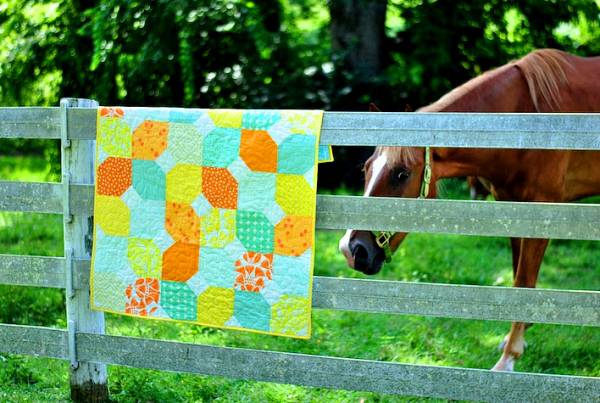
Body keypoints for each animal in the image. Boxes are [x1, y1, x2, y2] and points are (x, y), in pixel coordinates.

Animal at [338, 49, 600, 372]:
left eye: (401, 174)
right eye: (367, 169)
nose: (352, 250)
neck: (526, 115)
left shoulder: (543, 213)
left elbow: (523, 282)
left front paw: (508, 359)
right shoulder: (515, 210)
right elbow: (518, 280)